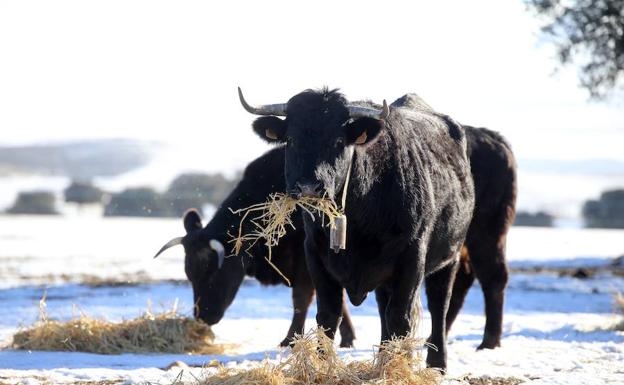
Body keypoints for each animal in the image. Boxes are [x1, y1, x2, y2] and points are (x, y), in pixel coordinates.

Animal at [155, 146, 356, 344]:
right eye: (189, 276)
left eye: (213, 273)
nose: (203, 317)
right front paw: (347, 337)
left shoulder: (305, 258)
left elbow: (302, 297)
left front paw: (290, 339)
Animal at [241, 87, 476, 368]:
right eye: (292, 140)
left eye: (339, 141)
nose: (309, 187)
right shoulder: (316, 254)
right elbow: (328, 316)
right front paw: (325, 366)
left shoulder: (412, 256)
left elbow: (401, 318)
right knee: (384, 310)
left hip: (450, 258)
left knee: (439, 306)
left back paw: (437, 363)